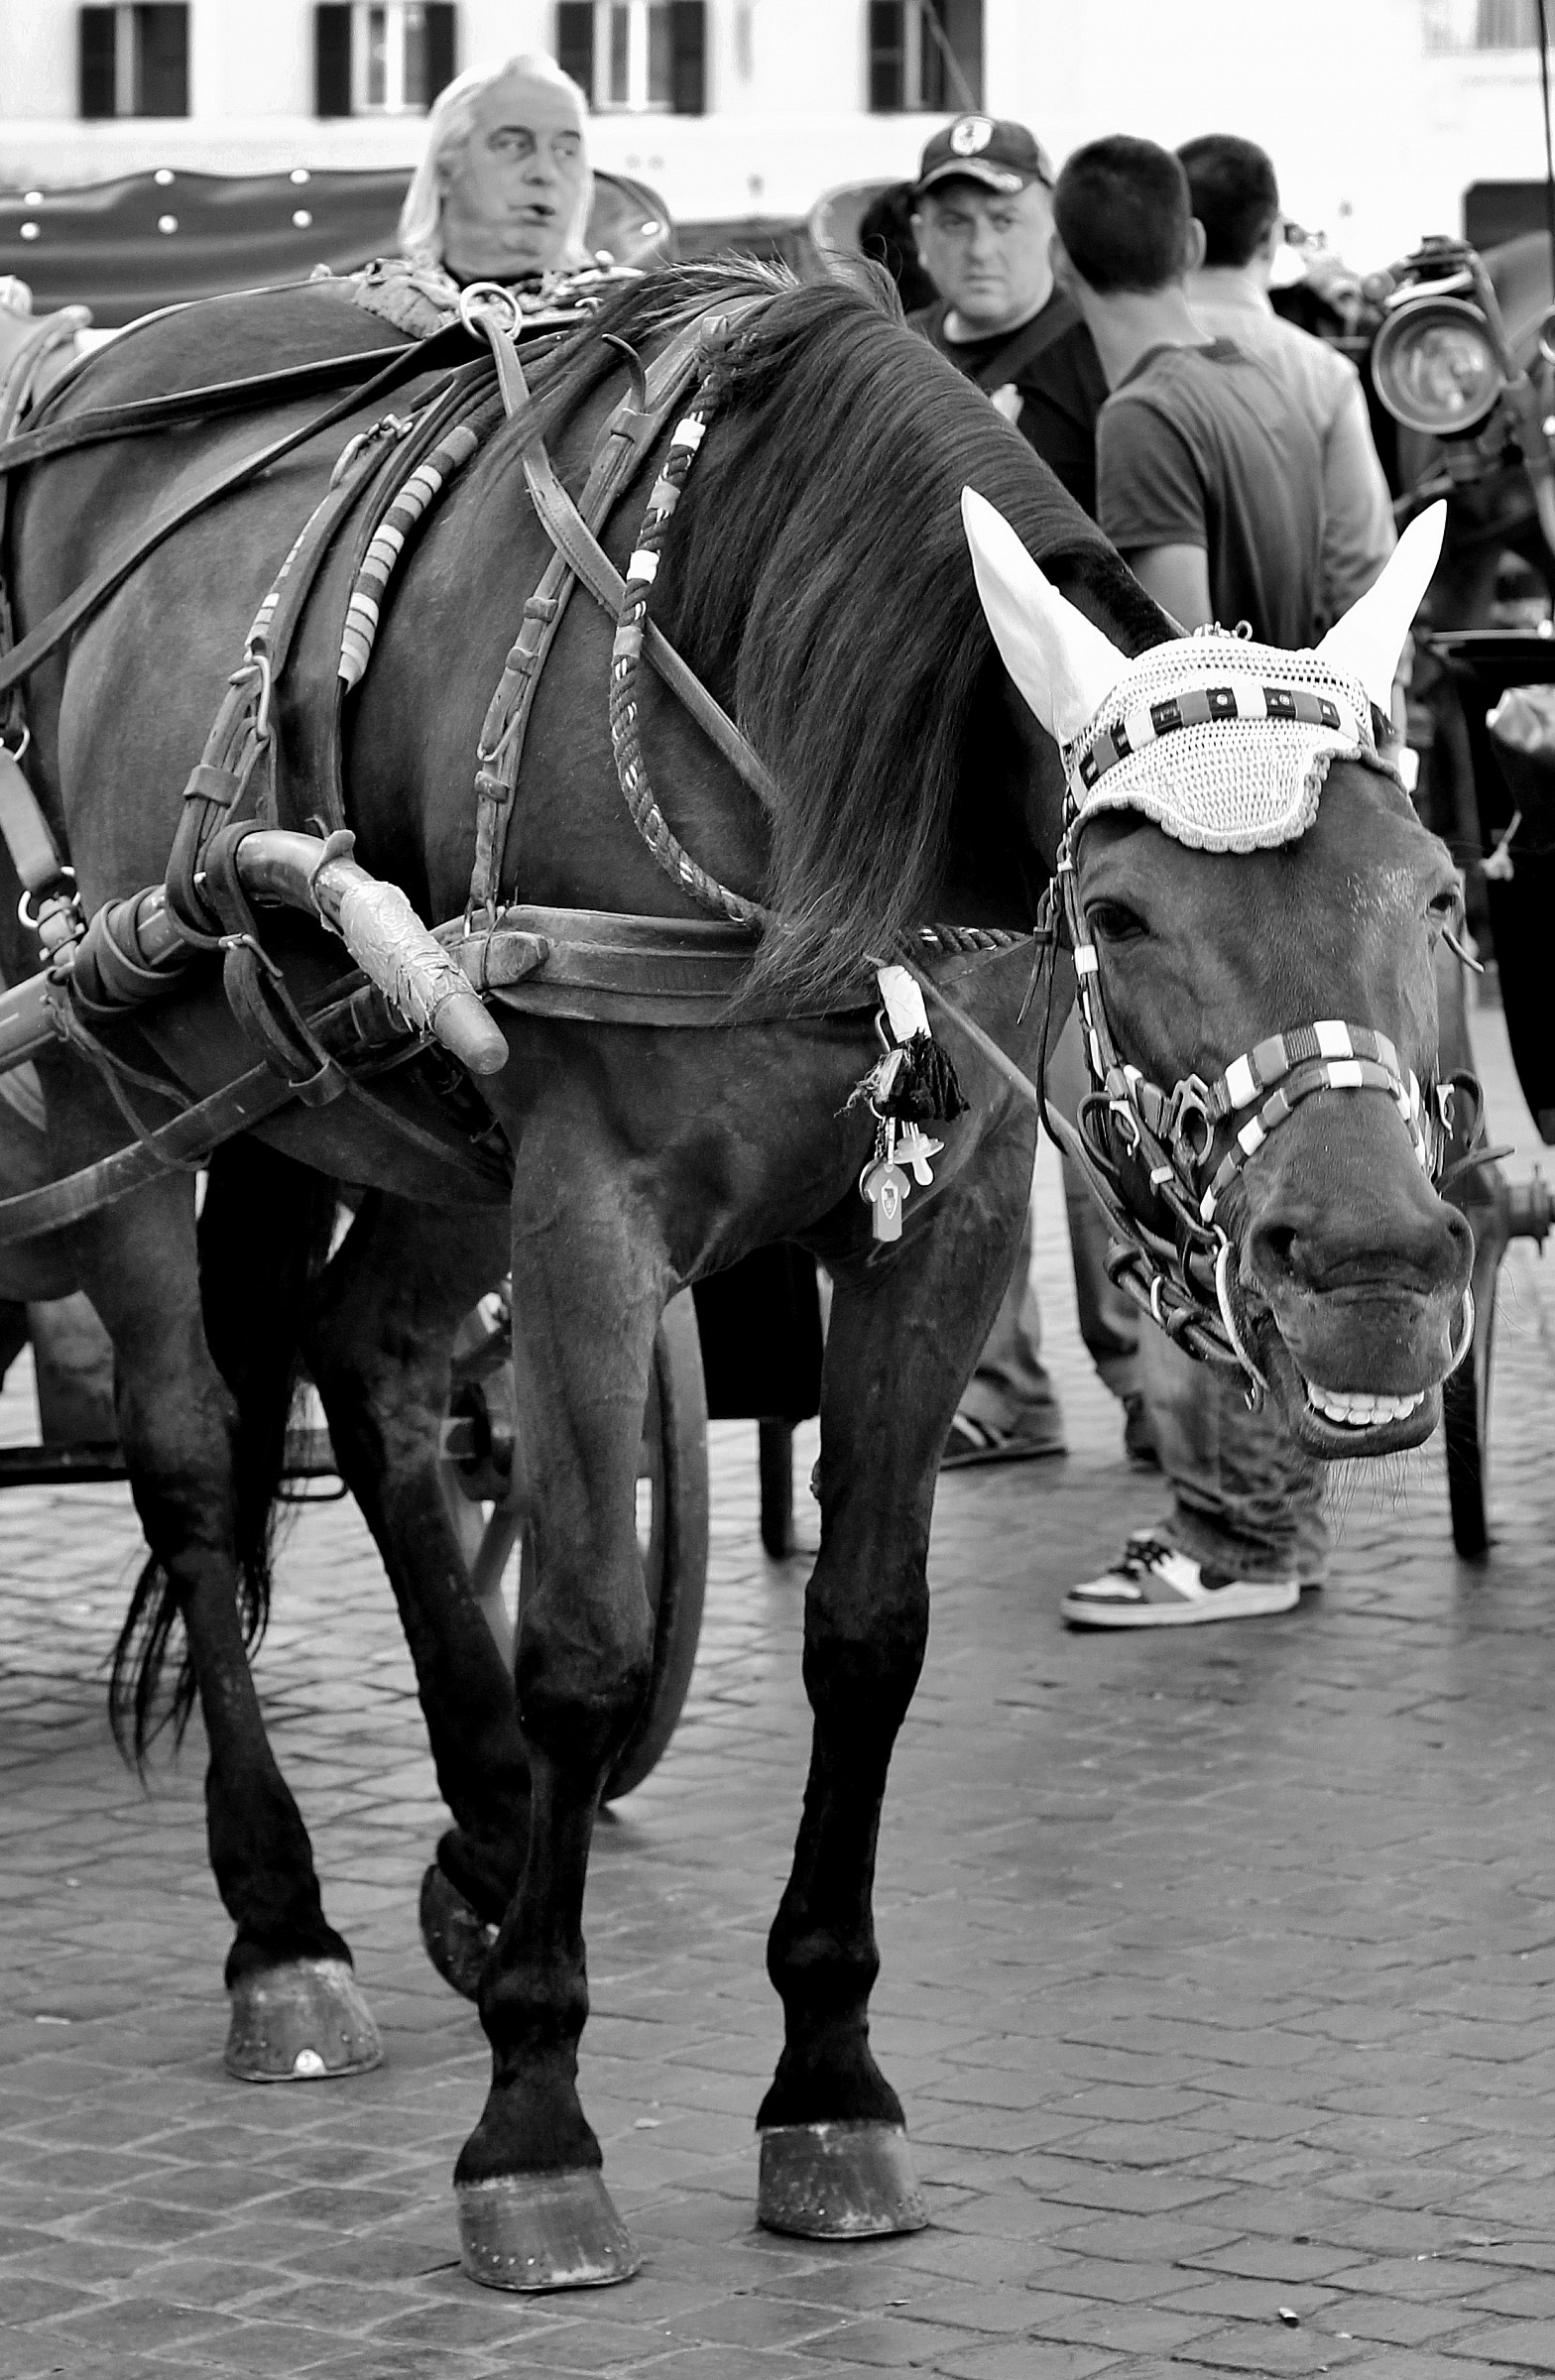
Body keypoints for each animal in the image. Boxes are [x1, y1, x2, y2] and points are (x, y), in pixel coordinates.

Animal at [4, 256, 1471, 2286]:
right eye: (1117, 913)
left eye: (1437, 891)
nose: (1375, 1266)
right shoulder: (589, 1203)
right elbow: (587, 1641)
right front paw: (532, 2121)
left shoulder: (953, 1216)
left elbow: (868, 1634)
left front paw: (828, 2084)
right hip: (119, 1070)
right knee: (193, 1464)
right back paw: (283, 1929)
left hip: (420, 1121)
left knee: (372, 1371)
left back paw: (482, 1846)